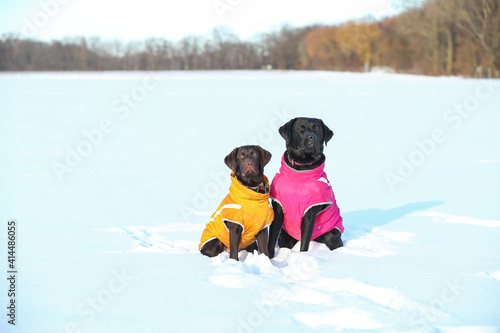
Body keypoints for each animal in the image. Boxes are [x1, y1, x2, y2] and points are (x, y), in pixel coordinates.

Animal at [270, 118, 344, 258]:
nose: (312, 137)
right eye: (300, 128)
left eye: (318, 129)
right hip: (284, 236)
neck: (301, 170)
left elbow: (304, 243)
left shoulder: (310, 213)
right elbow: (271, 238)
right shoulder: (278, 209)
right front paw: (268, 257)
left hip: (332, 234)